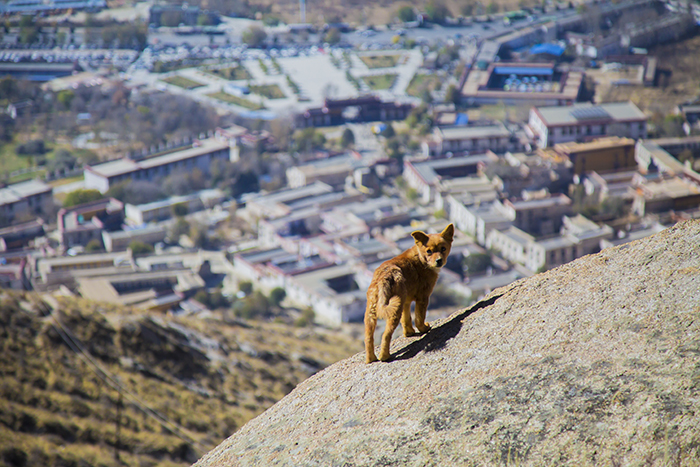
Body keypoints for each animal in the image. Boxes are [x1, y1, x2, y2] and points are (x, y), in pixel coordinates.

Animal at [364, 224, 454, 363]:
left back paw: (371, 359)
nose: (439, 261)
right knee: (386, 335)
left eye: (443, 248)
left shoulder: (405, 301)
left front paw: (409, 333)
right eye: (429, 251)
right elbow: (419, 317)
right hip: (393, 310)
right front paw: (424, 329)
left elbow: (406, 319)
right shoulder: (423, 297)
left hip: (372, 310)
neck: (421, 259)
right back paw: (385, 356)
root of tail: (384, 276)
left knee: (369, 337)